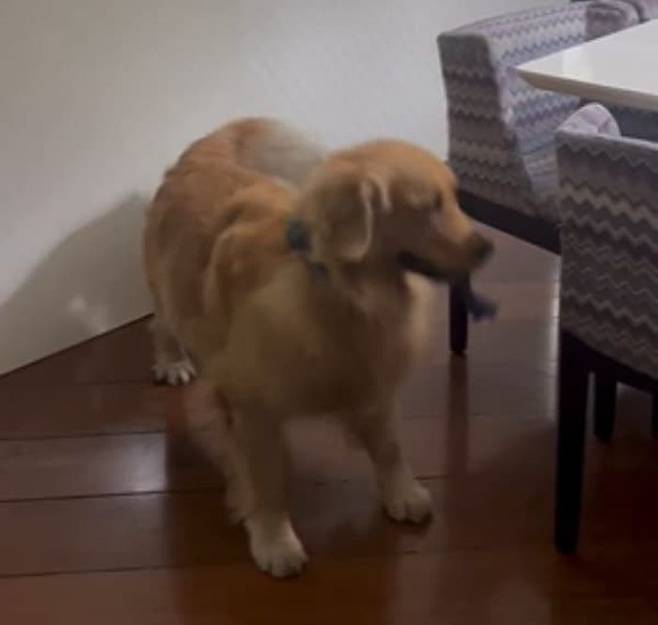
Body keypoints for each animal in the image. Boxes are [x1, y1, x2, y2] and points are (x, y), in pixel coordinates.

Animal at [143, 118, 493, 577]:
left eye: (454, 197)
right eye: (429, 207)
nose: (488, 247)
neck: (337, 287)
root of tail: (206, 148)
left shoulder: (371, 378)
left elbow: (389, 446)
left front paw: (402, 492)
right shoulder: (254, 409)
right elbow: (267, 483)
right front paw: (275, 540)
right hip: (167, 290)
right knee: (160, 322)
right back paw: (171, 361)